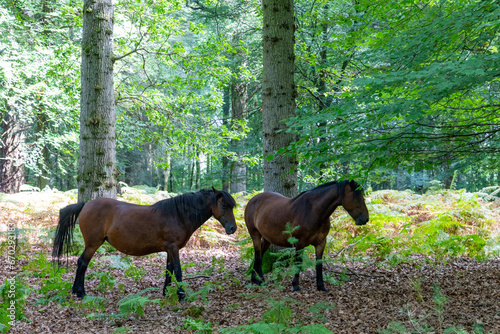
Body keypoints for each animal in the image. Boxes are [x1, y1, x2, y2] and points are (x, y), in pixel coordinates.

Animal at [52, 187, 236, 298]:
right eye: (224, 205)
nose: (233, 228)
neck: (178, 214)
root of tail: (85, 205)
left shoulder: (169, 249)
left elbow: (168, 270)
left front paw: (166, 292)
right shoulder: (174, 248)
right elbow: (177, 271)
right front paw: (181, 295)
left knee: (81, 263)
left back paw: (76, 291)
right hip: (92, 244)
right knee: (83, 263)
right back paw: (81, 293)